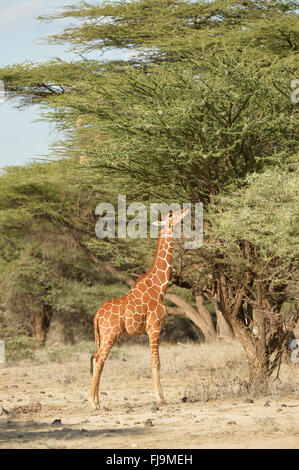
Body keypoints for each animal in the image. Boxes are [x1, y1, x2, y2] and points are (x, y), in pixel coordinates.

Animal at [88, 207, 189, 410]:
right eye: (171, 215)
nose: (185, 209)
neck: (160, 288)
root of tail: (97, 315)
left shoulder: (150, 329)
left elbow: (154, 361)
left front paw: (160, 397)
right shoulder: (155, 326)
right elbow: (156, 361)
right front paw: (160, 399)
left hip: (102, 335)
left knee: (96, 358)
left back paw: (97, 401)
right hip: (111, 334)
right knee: (99, 358)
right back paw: (93, 403)